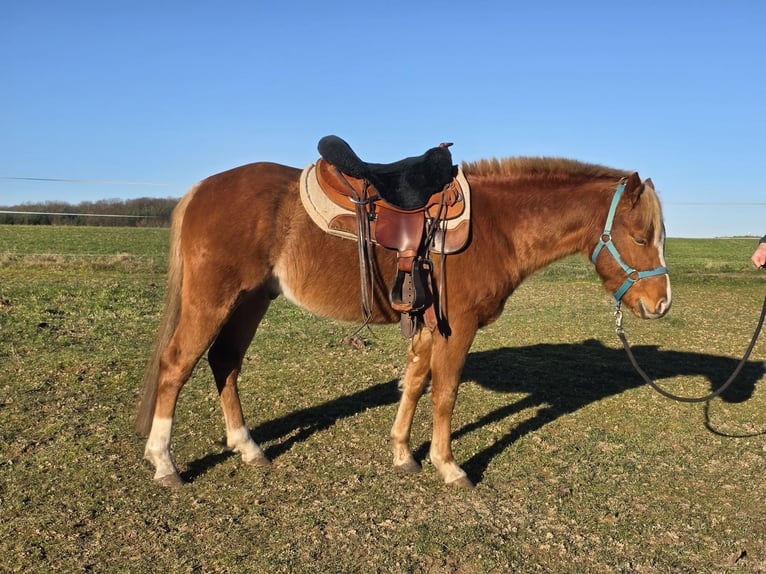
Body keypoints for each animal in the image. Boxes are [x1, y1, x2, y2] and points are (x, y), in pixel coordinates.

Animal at [135, 154, 671, 489]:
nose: (661, 304)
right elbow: (445, 394)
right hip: (214, 301)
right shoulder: (458, 327)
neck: (497, 226)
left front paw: (402, 454)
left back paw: (248, 448)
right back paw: (163, 462)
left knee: (224, 363)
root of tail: (201, 188)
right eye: (641, 237)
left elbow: (414, 385)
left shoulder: (429, 327)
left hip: (250, 301)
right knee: (177, 365)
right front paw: (448, 466)